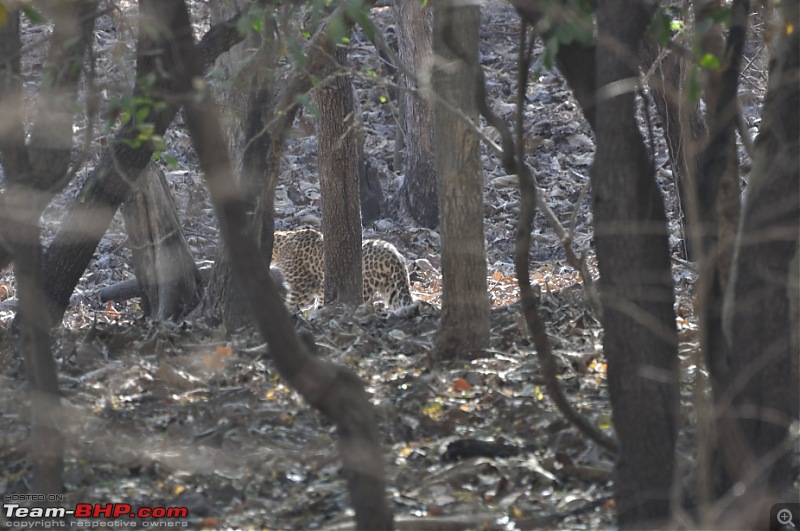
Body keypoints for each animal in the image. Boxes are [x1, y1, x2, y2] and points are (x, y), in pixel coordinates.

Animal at [272, 229, 416, 312]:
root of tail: (392, 252)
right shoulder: (321, 289)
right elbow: (319, 303)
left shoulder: (304, 286)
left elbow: (292, 303)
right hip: (392, 287)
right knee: (400, 303)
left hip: (363, 285)